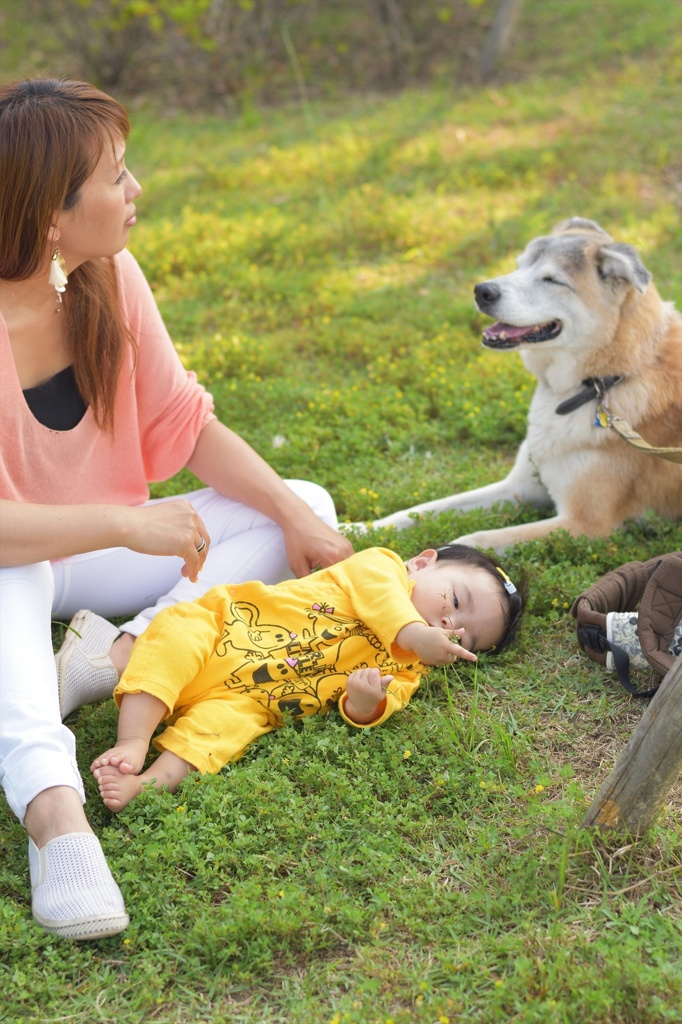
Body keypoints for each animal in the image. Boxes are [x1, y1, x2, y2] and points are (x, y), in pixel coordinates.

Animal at [360, 217, 679, 552]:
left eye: (552, 279)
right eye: (518, 266)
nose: (482, 291)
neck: (600, 382)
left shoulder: (586, 524)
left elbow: (476, 538)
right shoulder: (520, 487)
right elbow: (426, 508)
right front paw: (359, 528)